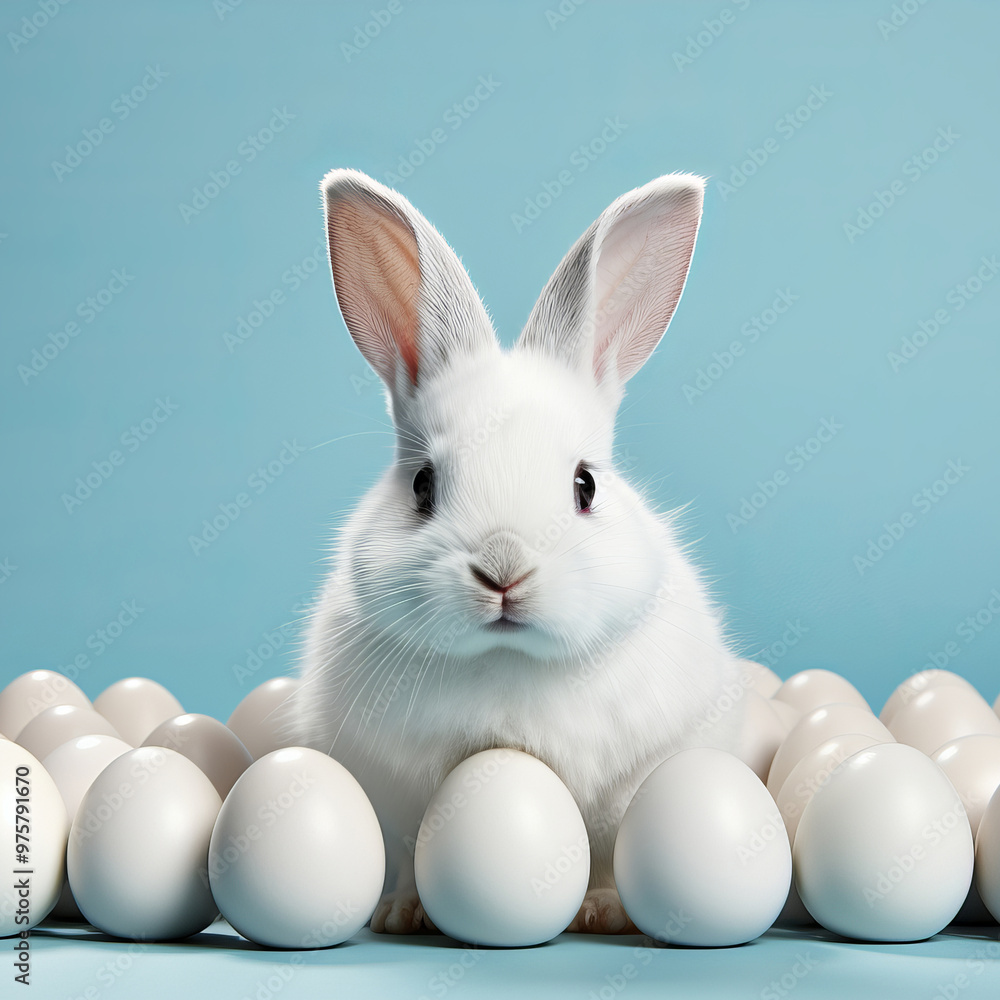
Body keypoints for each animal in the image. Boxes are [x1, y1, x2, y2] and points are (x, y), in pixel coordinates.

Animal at [290, 167, 748, 935]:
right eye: (423, 484)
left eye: (585, 484)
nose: (503, 571)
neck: (505, 663)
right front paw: (403, 912)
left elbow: (609, 851)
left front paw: (604, 910)